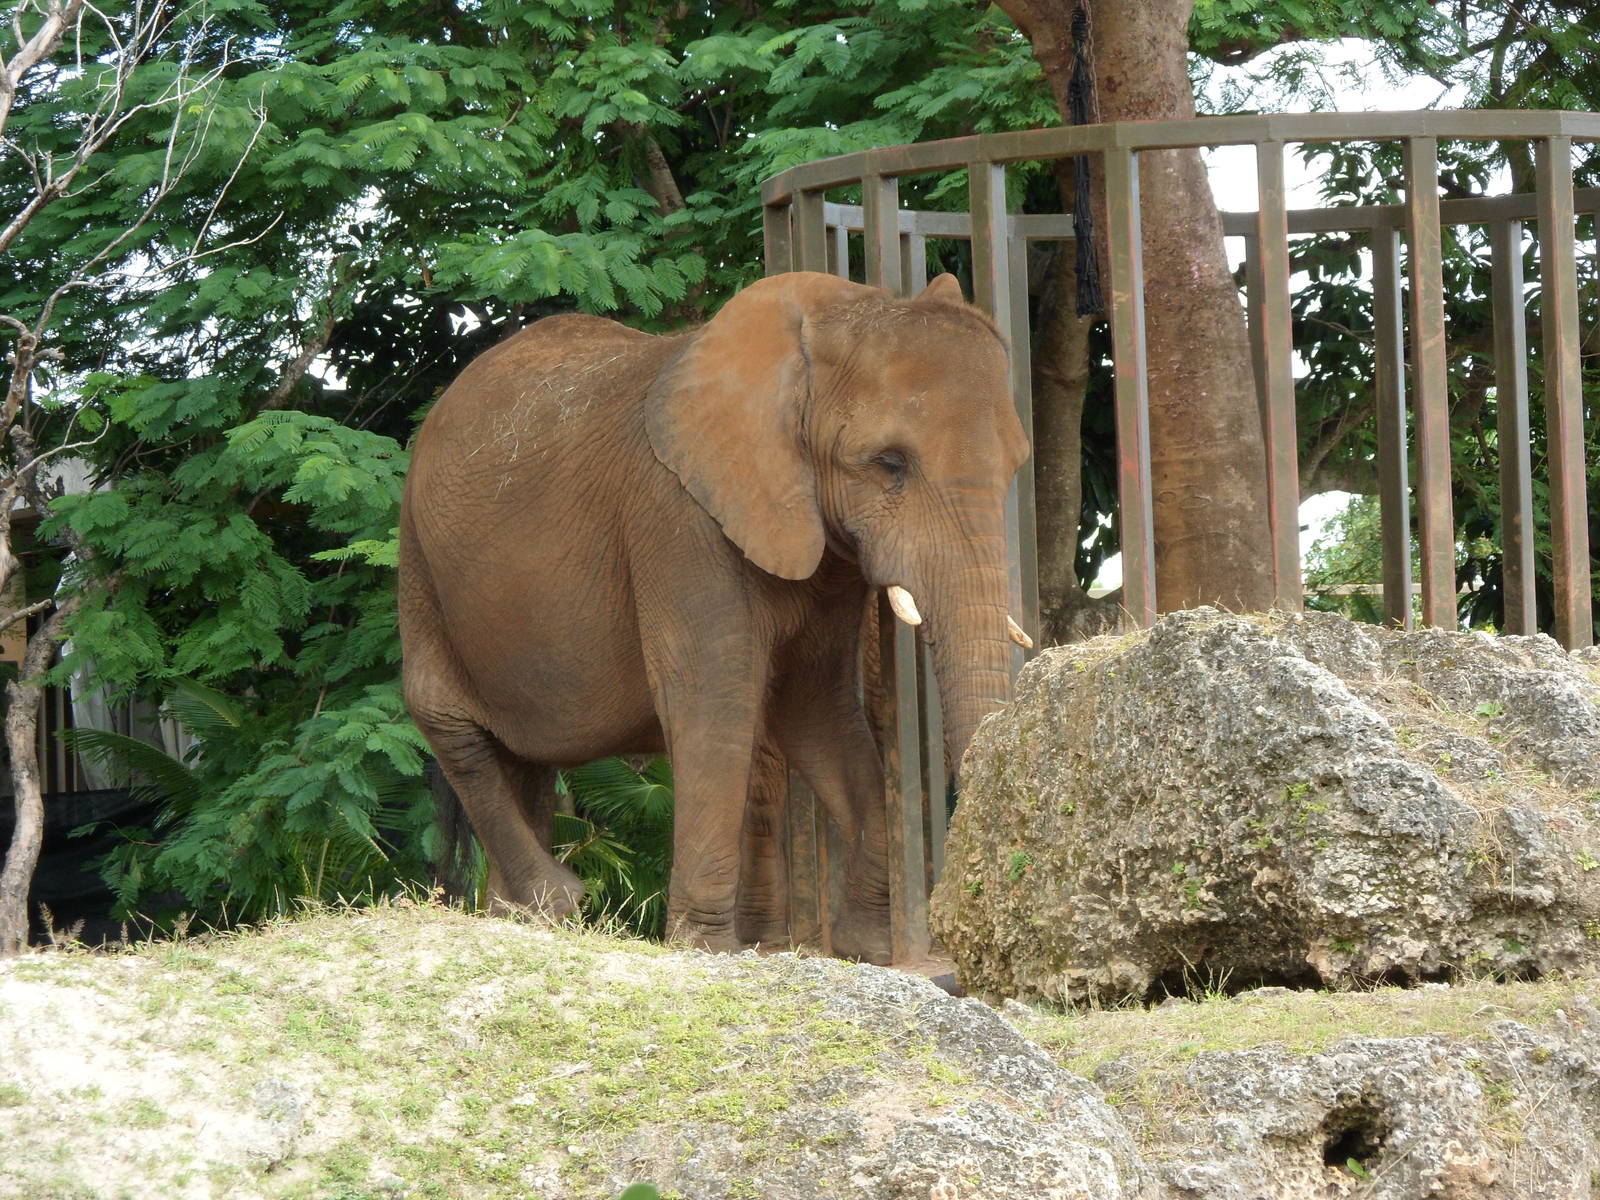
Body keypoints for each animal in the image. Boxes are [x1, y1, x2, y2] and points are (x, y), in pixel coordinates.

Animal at [399, 270, 1030, 963]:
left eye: (1017, 465)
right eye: (890, 463)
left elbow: (816, 707)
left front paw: (865, 949)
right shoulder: (678, 518)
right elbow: (716, 695)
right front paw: (708, 950)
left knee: (522, 760)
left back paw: (515, 920)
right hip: (418, 563)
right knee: (449, 723)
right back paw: (558, 901)